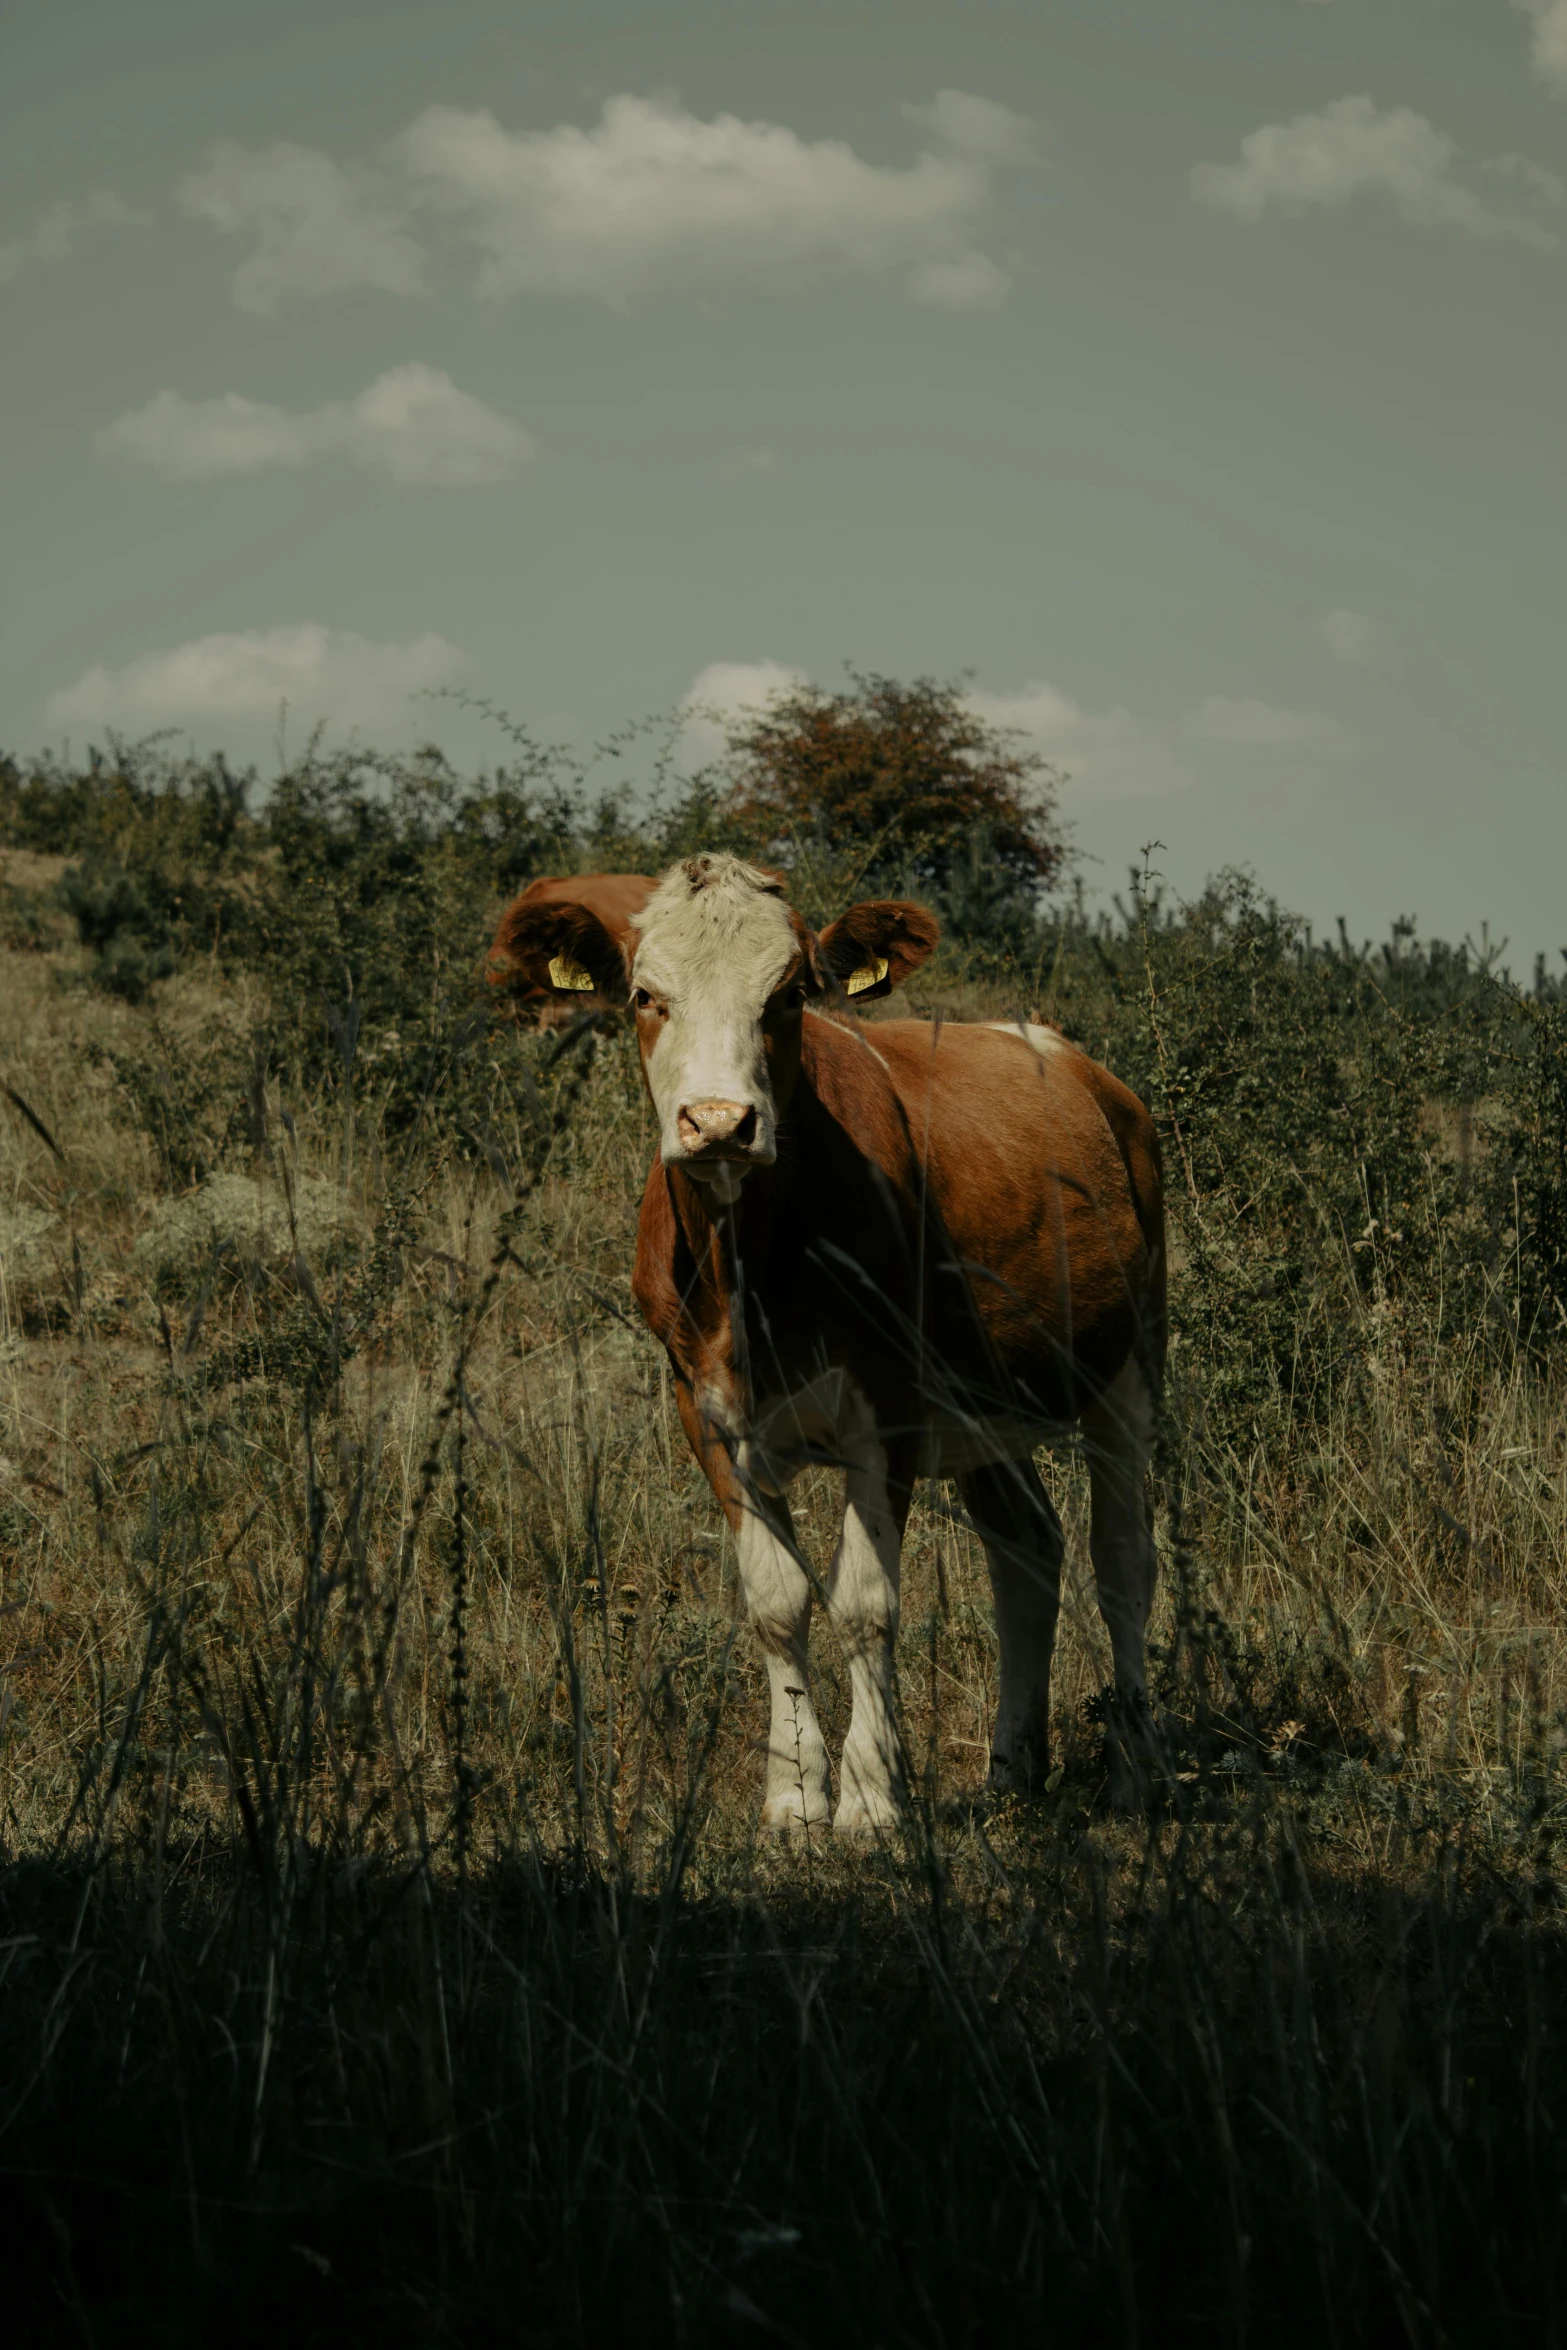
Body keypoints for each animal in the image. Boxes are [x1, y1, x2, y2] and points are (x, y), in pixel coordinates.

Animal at [502, 855, 1165, 1823]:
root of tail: (1075, 1061)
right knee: (1027, 1549)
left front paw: (869, 1795)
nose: (718, 1122)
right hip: (990, 1405)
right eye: (644, 996)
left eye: (786, 997)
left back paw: (1132, 1768)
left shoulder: (886, 1404)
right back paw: (1012, 1766)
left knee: (1121, 1563)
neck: (752, 1271)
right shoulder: (703, 1408)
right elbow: (777, 1601)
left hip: (1130, 1360)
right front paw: (793, 1794)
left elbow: (864, 1602)